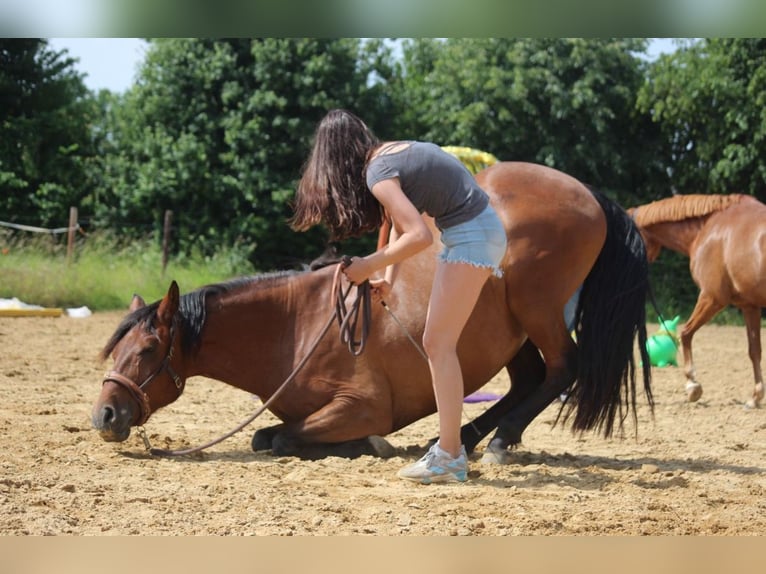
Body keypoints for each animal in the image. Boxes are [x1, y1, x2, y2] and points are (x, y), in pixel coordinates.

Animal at [91, 163, 656, 464]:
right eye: (117, 348)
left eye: (148, 349)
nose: (104, 414)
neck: (298, 327)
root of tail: (588, 193)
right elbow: (270, 435)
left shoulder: (361, 404)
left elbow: (281, 437)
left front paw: (368, 443)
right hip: (508, 330)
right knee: (528, 380)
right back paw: (469, 436)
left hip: (536, 309)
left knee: (564, 367)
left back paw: (496, 441)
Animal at [632, 195, 766, 410]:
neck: (709, 227)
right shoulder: (750, 306)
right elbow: (754, 351)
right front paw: (755, 397)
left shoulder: (712, 297)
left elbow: (685, 334)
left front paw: (692, 386)